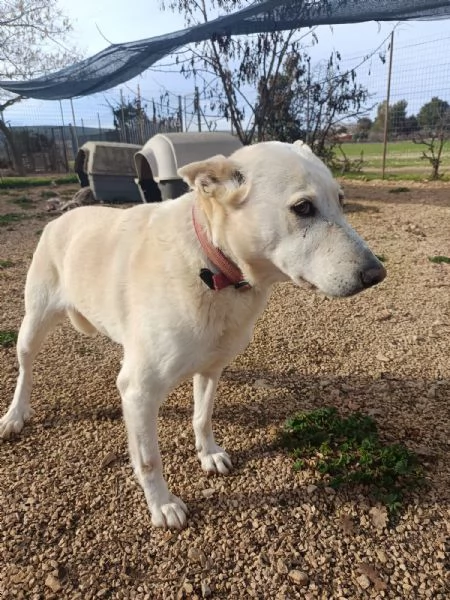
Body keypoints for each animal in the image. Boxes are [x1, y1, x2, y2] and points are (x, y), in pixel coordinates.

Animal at [1, 143, 384, 528]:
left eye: (341, 201)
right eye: (303, 207)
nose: (377, 274)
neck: (212, 266)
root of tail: (63, 217)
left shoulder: (211, 369)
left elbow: (202, 417)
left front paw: (208, 454)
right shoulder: (139, 391)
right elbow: (149, 459)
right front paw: (161, 505)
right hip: (32, 327)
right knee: (26, 371)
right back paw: (15, 415)